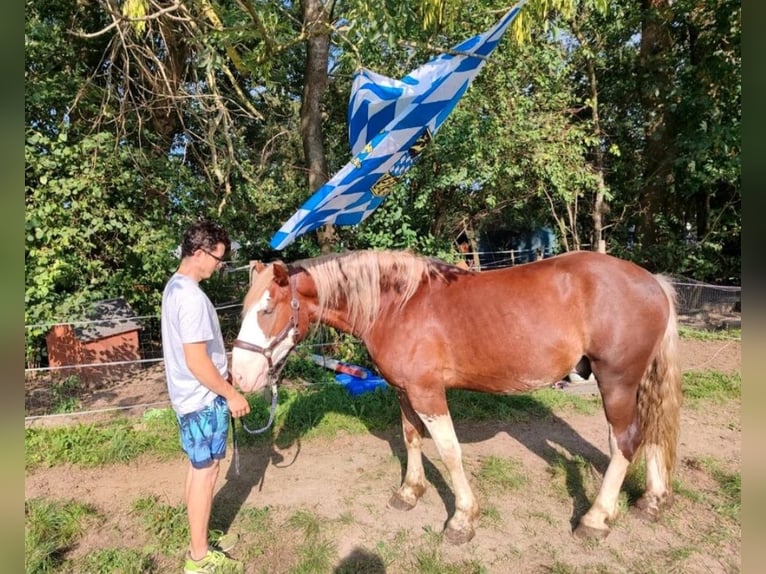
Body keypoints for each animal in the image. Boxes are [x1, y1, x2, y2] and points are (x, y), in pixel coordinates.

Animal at [230, 251, 684, 544]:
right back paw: (652, 500)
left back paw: (596, 518)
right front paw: (410, 493)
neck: (397, 306)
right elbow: (411, 439)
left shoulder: (429, 393)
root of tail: (653, 282)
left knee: (624, 441)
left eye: (267, 309)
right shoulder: (404, 391)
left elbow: (449, 452)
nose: (240, 375)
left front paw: (462, 520)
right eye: (245, 308)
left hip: (617, 381)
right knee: (651, 431)